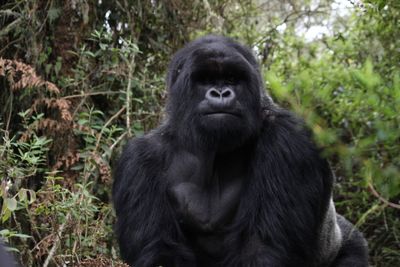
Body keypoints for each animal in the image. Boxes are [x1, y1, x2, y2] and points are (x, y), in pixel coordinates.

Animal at [112, 35, 368, 267]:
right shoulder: (139, 159)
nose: (221, 93)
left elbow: (262, 248)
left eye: (232, 78)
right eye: (206, 80)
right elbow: (160, 250)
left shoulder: (290, 138)